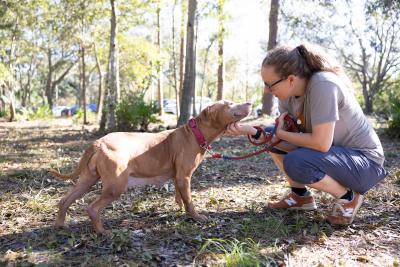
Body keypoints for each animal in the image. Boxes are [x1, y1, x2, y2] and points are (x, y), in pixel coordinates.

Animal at [49, 101, 250, 234]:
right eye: (228, 104)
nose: (248, 102)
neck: (195, 133)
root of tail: (99, 142)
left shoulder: (178, 178)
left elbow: (180, 197)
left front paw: (179, 210)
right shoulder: (185, 177)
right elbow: (190, 201)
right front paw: (197, 217)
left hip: (87, 180)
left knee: (65, 200)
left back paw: (60, 225)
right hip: (115, 186)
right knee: (92, 208)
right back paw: (102, 232)